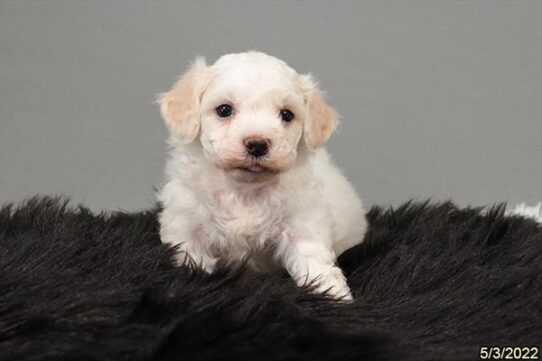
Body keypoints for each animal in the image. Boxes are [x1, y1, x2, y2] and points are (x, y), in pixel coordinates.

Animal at [159, 50, 368, 298]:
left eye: (287, 115)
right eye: (224, 110)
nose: (257, 144)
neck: (244, 189)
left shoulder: (302, 222)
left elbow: (313, 259)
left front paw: (332, 295)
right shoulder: (186, 224)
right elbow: (190, 258)